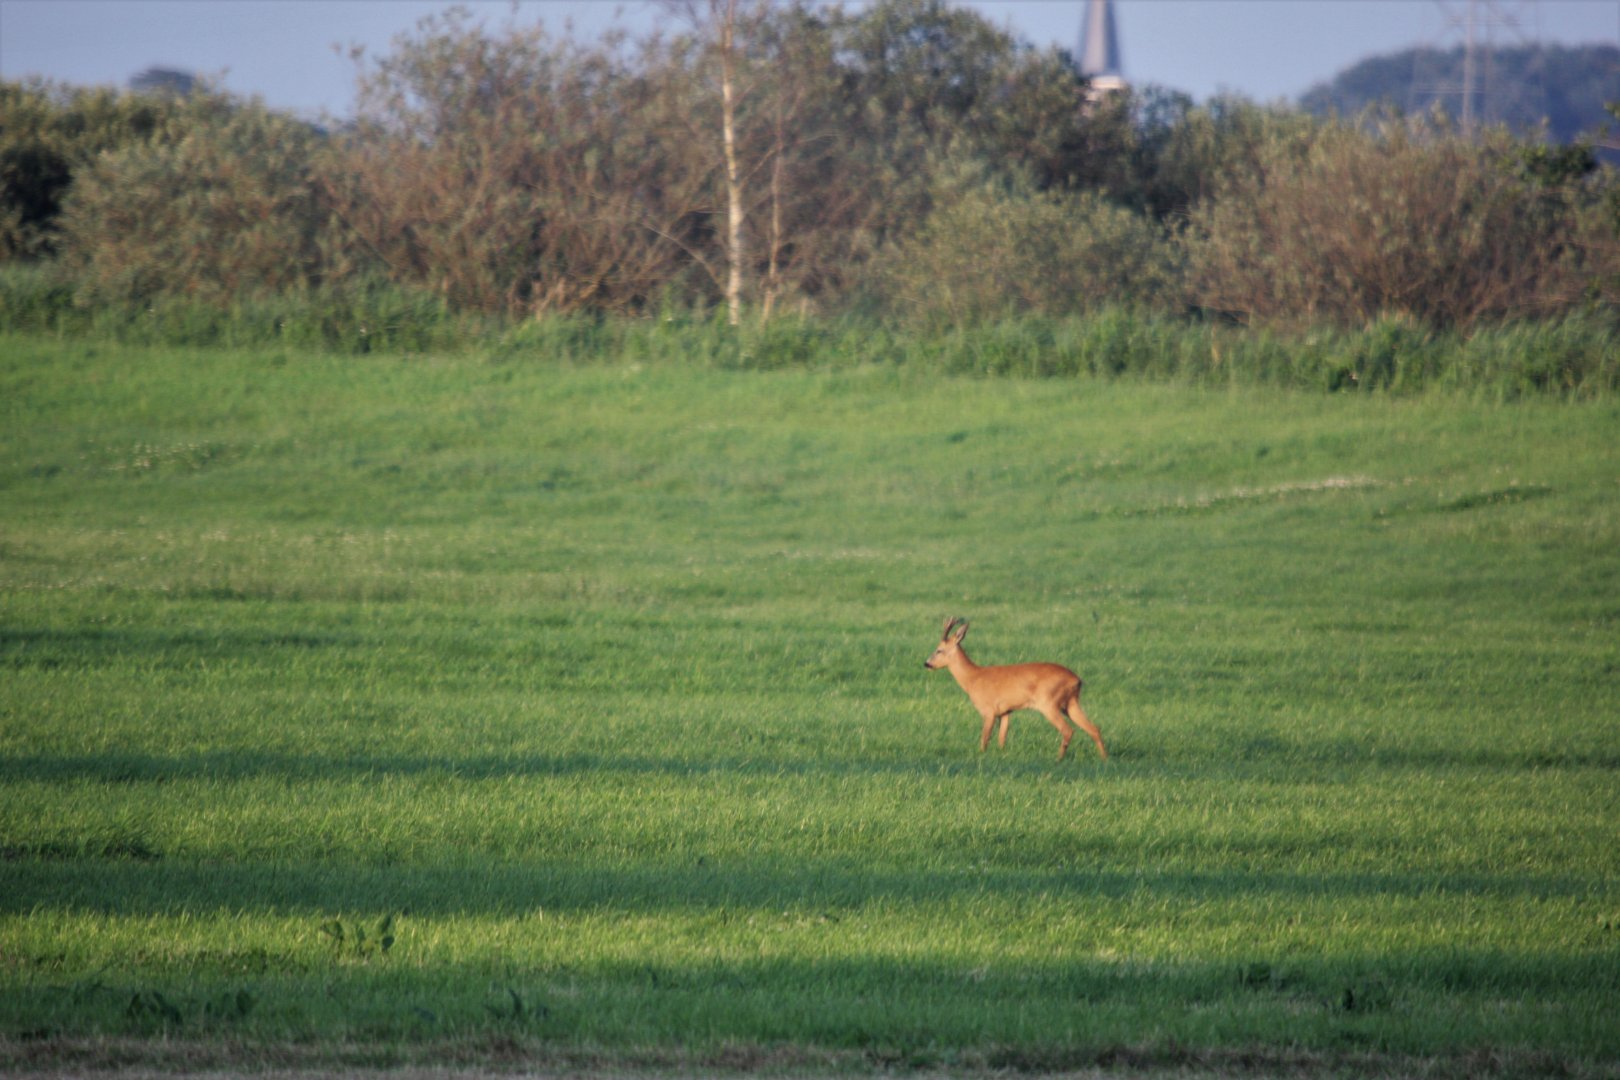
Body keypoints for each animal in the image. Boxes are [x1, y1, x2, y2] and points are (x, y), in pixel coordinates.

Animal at [924, 617, 1107, 762]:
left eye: (939, 650)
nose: (926, 664)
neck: (972, 678)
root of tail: (1077, 680)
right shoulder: (1005, 712)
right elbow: (1001, 739)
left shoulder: (988, 710)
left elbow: (984, 739)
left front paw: (981, 755)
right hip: (1071, 703)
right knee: (1094, 729)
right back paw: (1104, 759)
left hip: (1049, 703)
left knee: (1068, 730)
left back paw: (1058, 759)